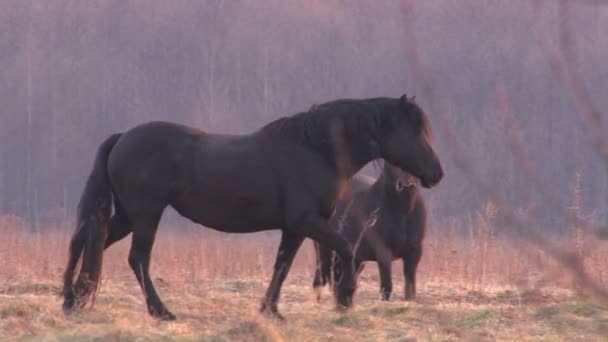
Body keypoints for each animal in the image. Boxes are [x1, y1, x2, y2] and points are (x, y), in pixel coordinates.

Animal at [314, 161, 428, 302]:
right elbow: (386, 286)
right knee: (322, 273)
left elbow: (410, 288)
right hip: (324, 248)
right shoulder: (383, 252)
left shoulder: (415, 251)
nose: (406, 181)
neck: (403, 212)